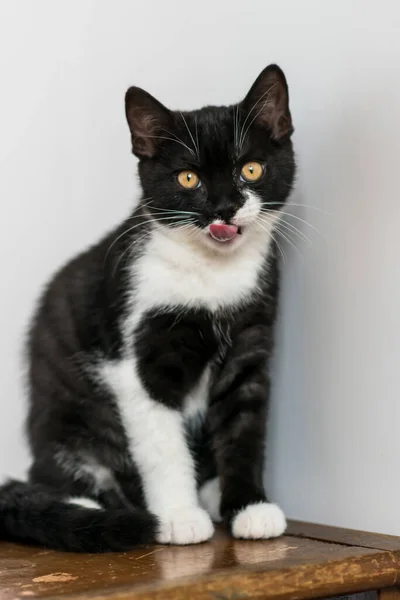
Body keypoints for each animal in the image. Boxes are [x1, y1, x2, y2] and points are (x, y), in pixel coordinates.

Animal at [0, 63, 294, 552]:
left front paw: (250, 507)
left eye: (250, 169)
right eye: (188, 178)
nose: (225, 208)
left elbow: (245, 429)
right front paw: (179, 517)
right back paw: (87, 507)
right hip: (64, 416)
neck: (210, 272)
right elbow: (162, 444)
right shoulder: (135, 354)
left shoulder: (250, 343)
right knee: (55, 470)